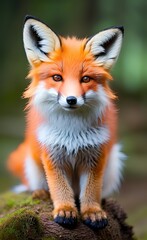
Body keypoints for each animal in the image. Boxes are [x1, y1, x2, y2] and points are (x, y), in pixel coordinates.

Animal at [6, 15, 124, 230]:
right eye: (57, 77)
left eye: (85, 79)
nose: (71, 100)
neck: (72, 133)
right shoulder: (53, 155)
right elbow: (60, 189)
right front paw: (65, 210)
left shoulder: (95, 156)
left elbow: (91, 191)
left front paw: (92, 212)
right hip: (32, 162)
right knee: (33, 186)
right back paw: (40, 193)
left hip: (114, 161)